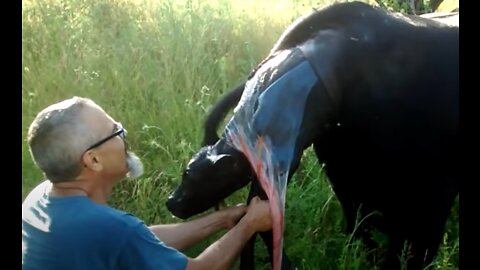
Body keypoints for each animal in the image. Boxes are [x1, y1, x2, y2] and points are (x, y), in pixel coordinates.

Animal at [167, 2, 460, 270]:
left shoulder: (437, 188)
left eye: (191, 175)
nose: (172, 202)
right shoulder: (342, 173)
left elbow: (418, 247)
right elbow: (359, 224)